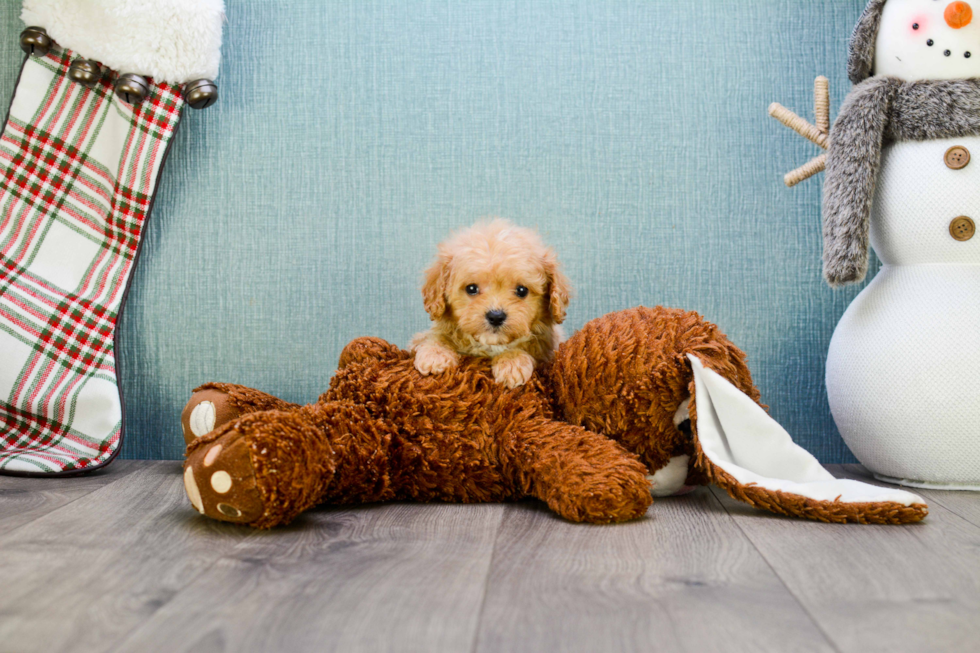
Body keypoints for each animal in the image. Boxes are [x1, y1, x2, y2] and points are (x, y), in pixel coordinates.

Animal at [412, 219, 572, 388]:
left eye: (522, 290)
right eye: (471, 288)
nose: (496, 316)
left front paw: (512, 362)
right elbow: (436, 336)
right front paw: (434, 353)